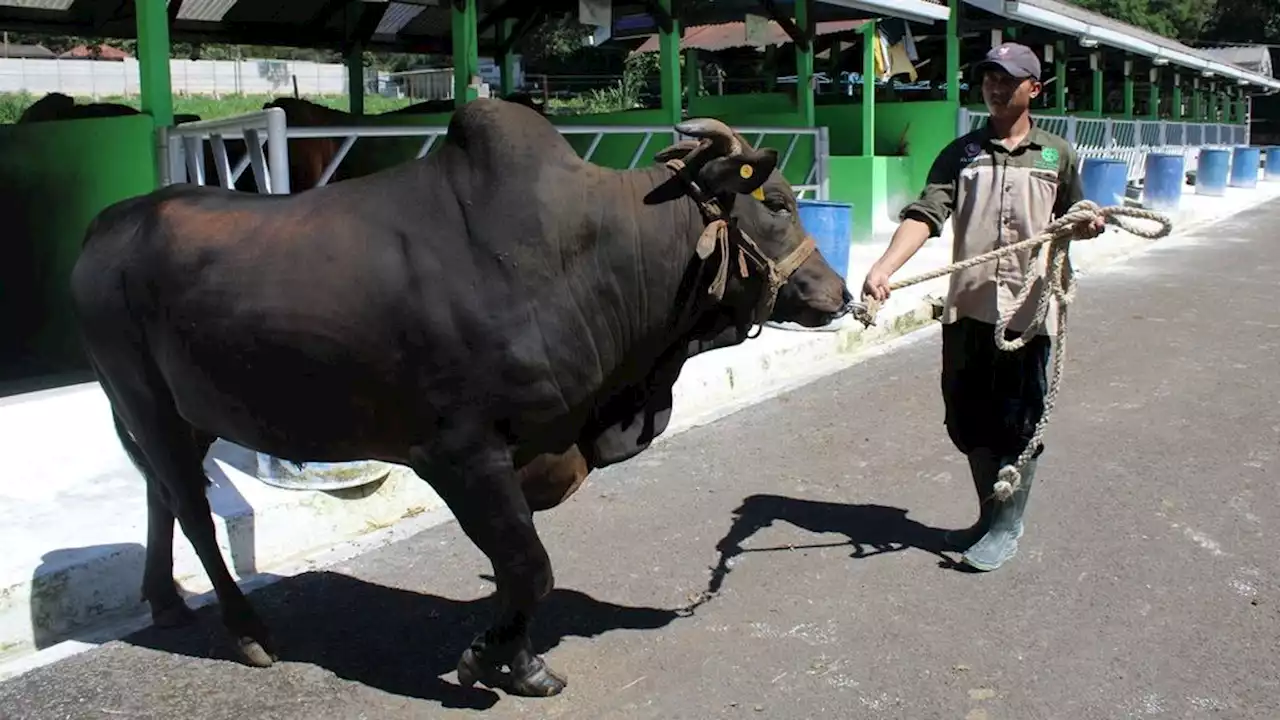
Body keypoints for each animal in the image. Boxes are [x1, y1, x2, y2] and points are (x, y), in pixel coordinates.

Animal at [67, 96, 849, 696]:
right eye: (778, 202)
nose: (839, 294)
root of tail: (106, 226)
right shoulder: (459, 452)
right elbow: (529, 567)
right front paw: (486, 656)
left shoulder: (529, 450)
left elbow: (515, 568)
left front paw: (518, 661)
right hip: (146, 402)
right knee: (194, 512)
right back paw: (247, 630)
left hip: (180, 412)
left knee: (160, 494)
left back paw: (166, 601)